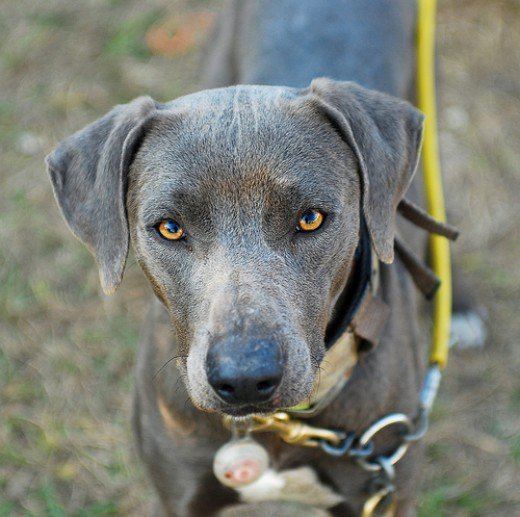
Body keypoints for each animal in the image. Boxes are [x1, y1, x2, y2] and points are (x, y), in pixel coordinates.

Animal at [46, 1, 434, 516]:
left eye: (311, 218)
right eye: (169, 227)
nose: (246, 378)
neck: (279, 426)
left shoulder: (388, 495)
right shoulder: (179, 493)